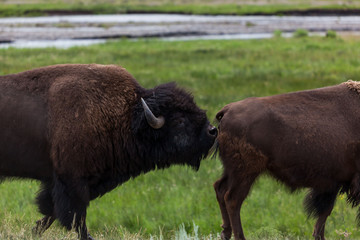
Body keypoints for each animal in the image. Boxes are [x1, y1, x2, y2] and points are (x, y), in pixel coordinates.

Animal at [0, 64, 218, 240]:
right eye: (179, 120)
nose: (213, 131)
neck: (127, 116)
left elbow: (52, 211)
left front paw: (34, 230)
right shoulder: (73, 181)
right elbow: (76, 217)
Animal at [214, 81, 360, 240]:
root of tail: (228, 110)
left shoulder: (333, 184)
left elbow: (324, 213)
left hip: (232, 172)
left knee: (220, 189)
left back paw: (225, 232)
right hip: (245, 173)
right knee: (232, 199)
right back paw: (239, 236)